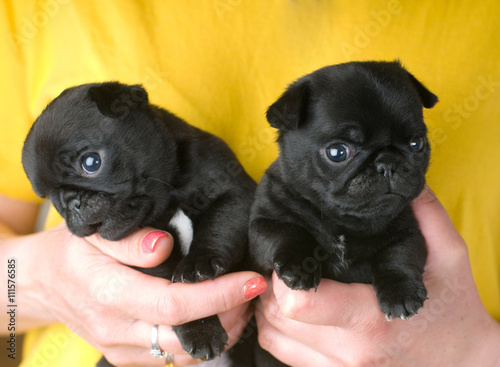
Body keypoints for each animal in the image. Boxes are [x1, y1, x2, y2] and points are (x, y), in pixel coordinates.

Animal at [21, 82, 256, 366]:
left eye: (91, 162)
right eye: (50, 198)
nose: (70, 202)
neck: (169, 196)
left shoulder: (232, 191)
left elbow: (219, 226)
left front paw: (200, 262)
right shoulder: (150, 261)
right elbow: (179, 297)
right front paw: (201, 330)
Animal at [250, 61, 438, 330]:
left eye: (417, 144)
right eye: (338, 152)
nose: (388, 163)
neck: (342, 220)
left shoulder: (408, 231)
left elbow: (398, 255)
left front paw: (402, 292)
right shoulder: (264, 223)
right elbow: (286, 231)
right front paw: (300, 264)